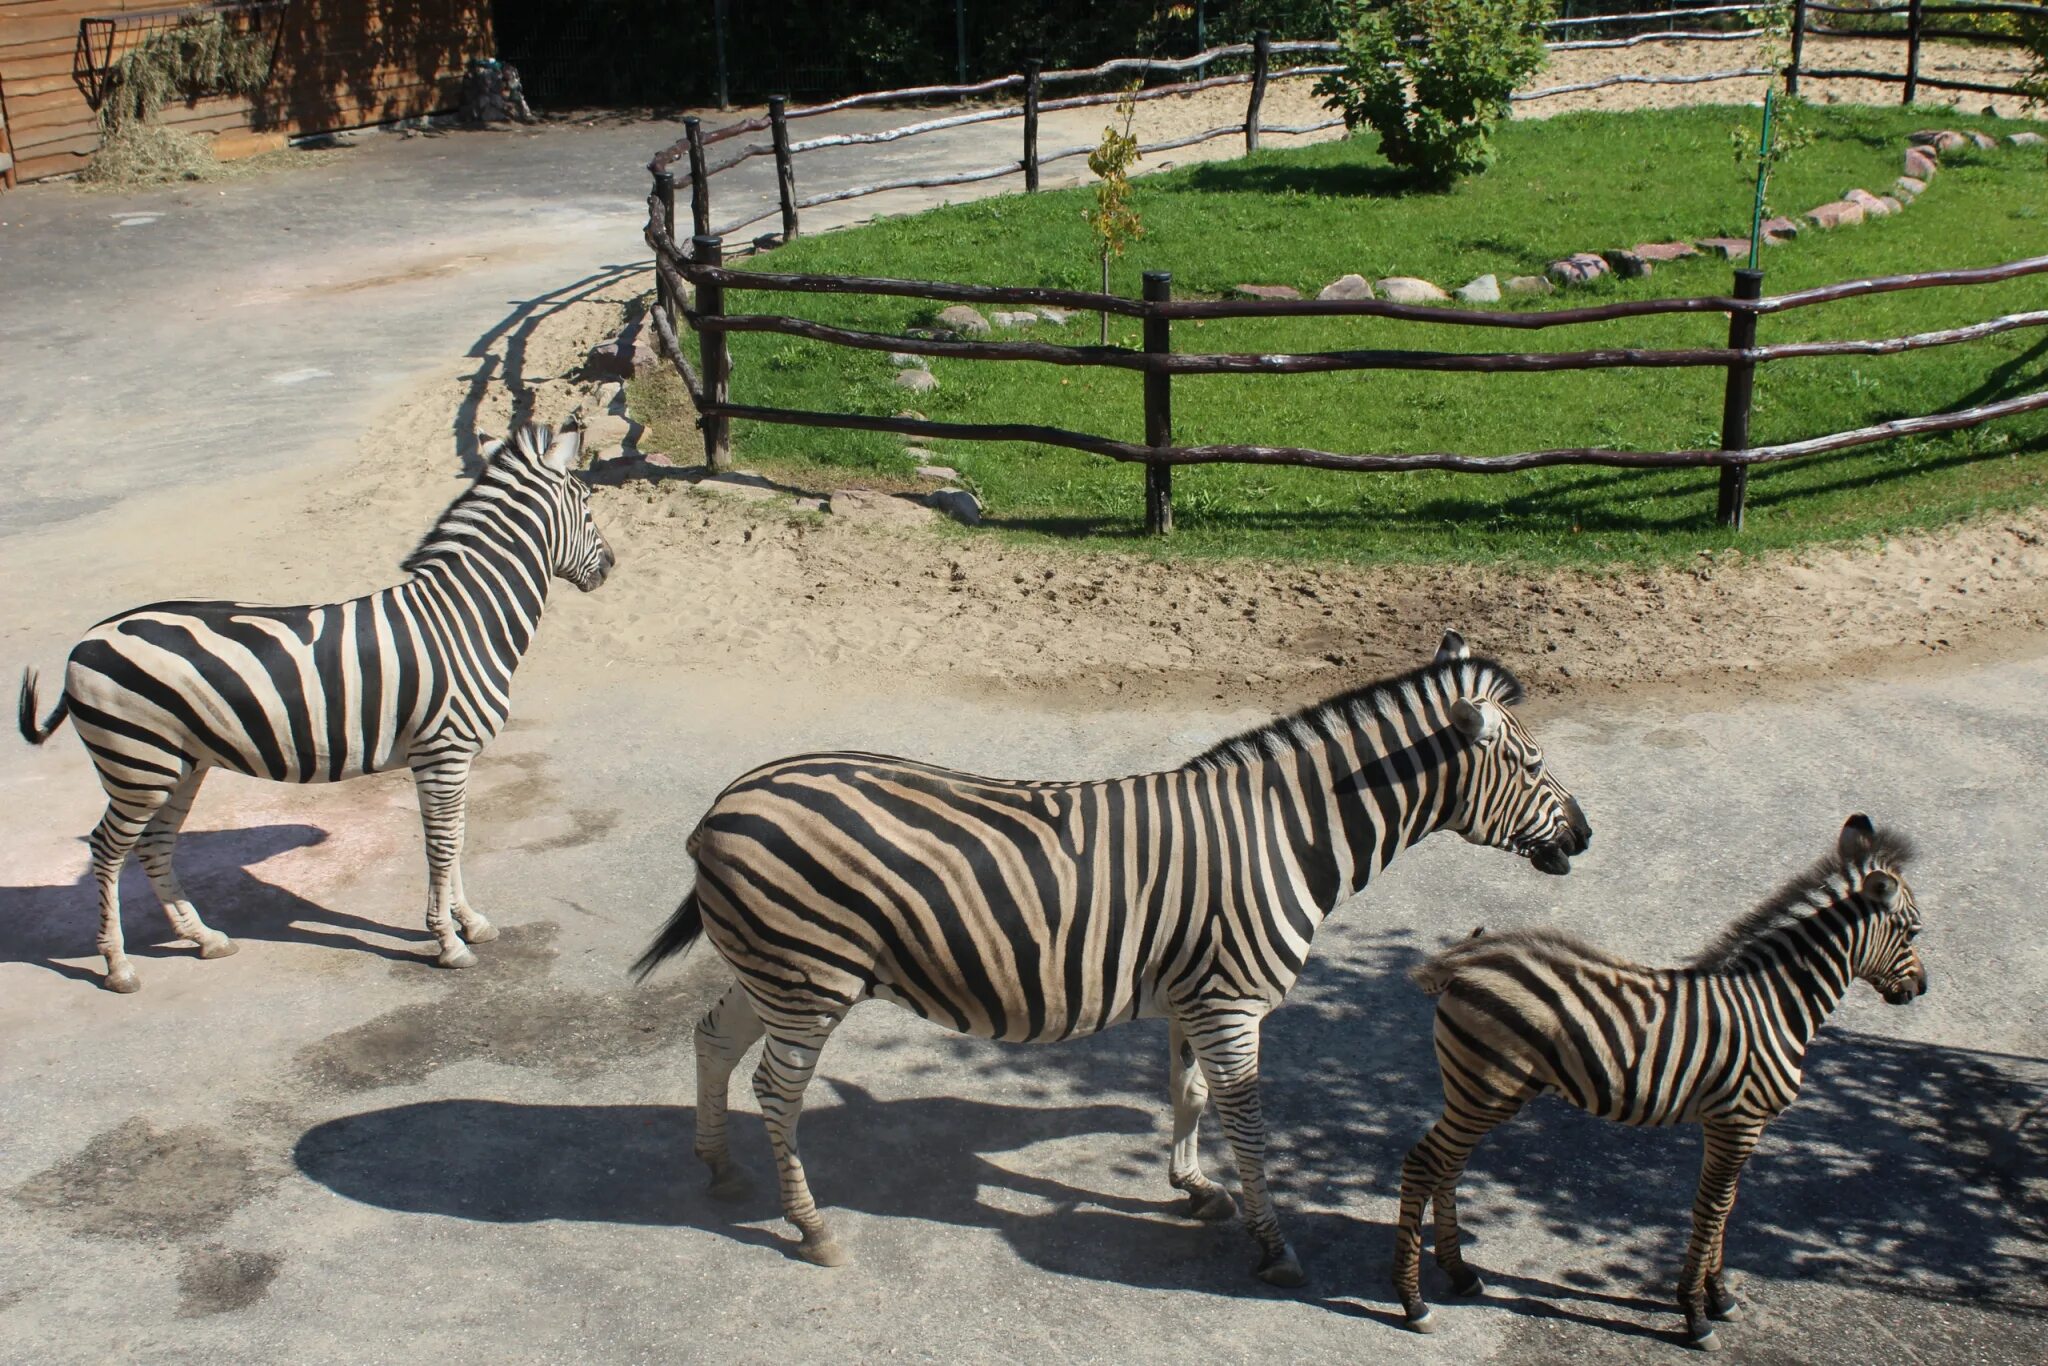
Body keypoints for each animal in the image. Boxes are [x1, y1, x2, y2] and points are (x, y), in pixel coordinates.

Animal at [16, 423, 610, 995]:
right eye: (585, 499)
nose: (610, 565)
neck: (464, 619)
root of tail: (87, 639)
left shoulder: (447, 759)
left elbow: (455, 838)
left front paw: (469, 922)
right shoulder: (443, 752)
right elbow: (444, 844)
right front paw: (447, 941)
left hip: (178, 764)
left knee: (153, 845)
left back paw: (205, 938)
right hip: (138, 764)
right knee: (105, 848)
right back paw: (117, 965)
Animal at [630, 634, 1589, 1286]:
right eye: (1534, 762)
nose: (1584, 835)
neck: (1285, 835)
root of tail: (725, 803)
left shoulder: (1197, 999)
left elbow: (1190, 1095)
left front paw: (1193, 1188)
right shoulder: (1231, 1003)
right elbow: (1249, 1125)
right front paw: (1272, 1244)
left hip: (773, 972)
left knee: (713, 1040)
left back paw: (721, 1169)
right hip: (811, 979)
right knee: (776, 1090)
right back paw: (811, 1226)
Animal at [1400, 819, 1925, 1351]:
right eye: (1913, 931)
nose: (1918, 989)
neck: (1774, 1005)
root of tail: (1463, 962)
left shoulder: (1735, 1124)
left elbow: (1725, 1207)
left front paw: (1719, 1297)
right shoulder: (1738, 1121)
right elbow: (1712, 1208)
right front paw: (1697, 1314)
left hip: (1476, 1093)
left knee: (1448, 1168)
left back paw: (1459, 1273)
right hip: (1485, 1091)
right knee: (1426, 1164)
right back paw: (1414, 1304)